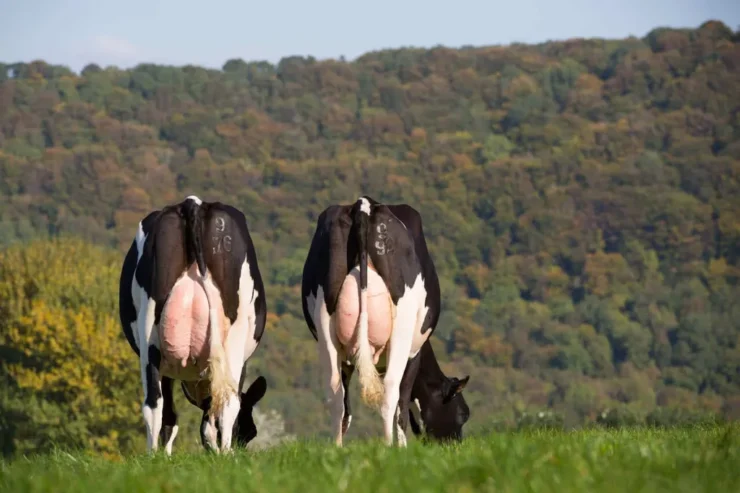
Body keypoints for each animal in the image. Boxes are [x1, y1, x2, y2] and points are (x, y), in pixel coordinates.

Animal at [118, 195, 267, 454]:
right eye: (250, 432)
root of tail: (194, 203)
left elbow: (175, 417)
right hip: (233, 336)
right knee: (226, 402)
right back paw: (223, 454)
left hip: (150, 336)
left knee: (155, 404)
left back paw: (153, 456)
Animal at [301, 195, 470, 446]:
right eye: (462, 414)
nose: (456, 445)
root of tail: (364, 205)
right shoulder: (413, 352)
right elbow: (403, 403)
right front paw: (401, 447)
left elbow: (347, 411)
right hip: (401, 325)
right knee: (390, 389)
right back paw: (388, 445)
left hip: (324, 320)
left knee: (334, 392)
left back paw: (337, 447)